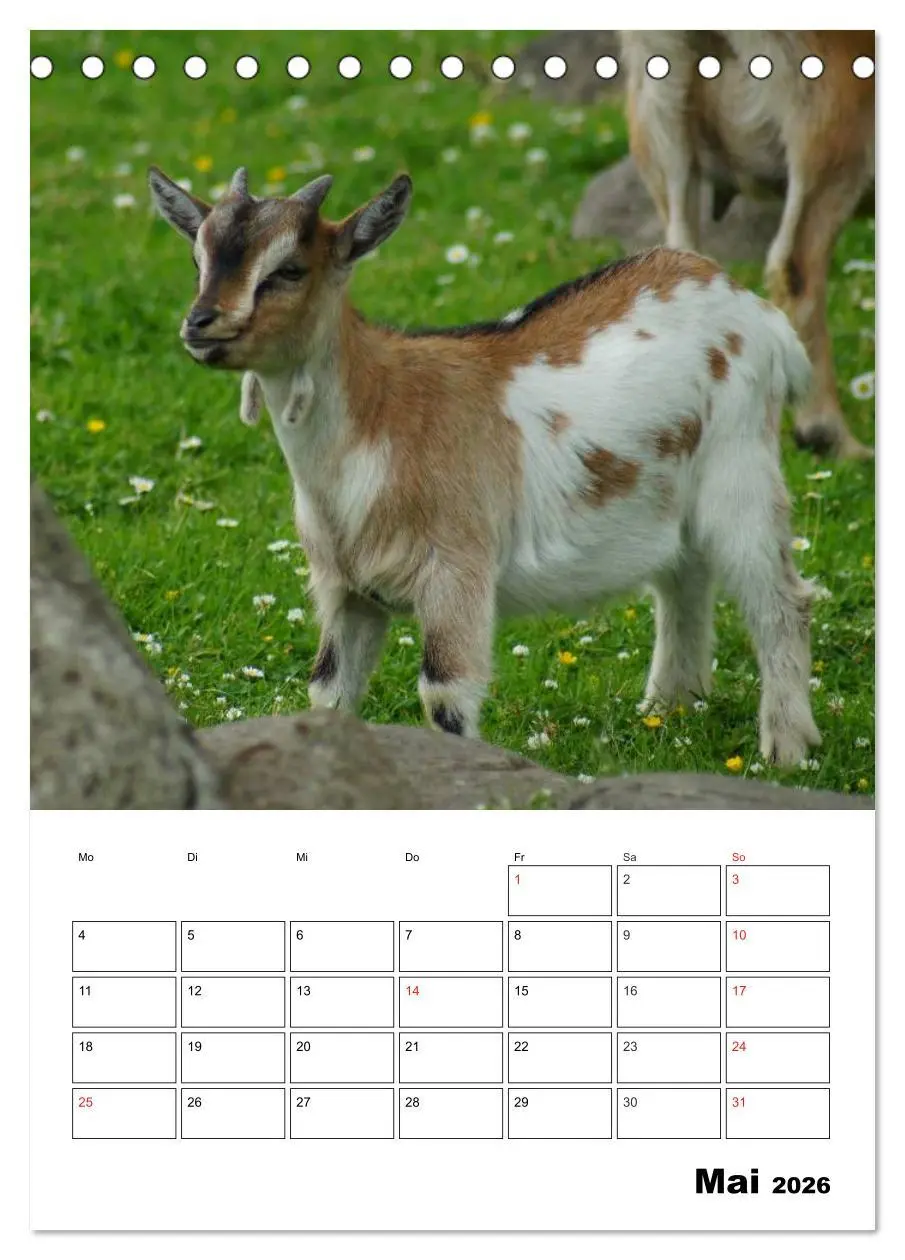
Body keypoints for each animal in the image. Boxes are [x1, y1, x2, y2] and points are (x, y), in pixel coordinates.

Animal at [148, 164, 820, 766]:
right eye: (198, 260)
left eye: (289, 269)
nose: (200, 324)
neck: (381, 412)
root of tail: (753, 309)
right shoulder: (347, 589)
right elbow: (328, 690)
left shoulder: (456, 571)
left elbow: (445, 694)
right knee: (684, 577)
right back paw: (667, 708)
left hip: (741, 466)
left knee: (779, 599)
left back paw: (786, 751)